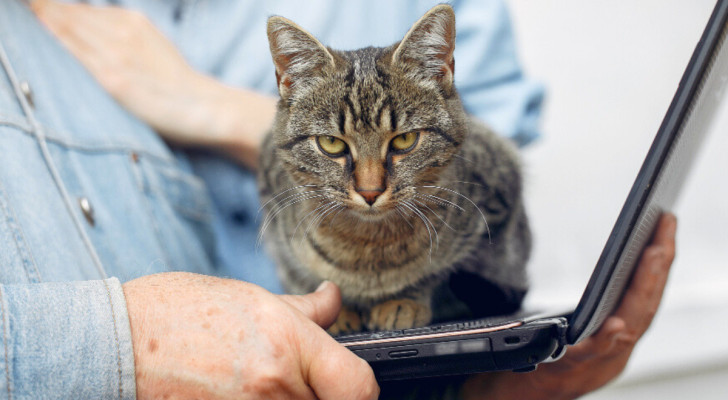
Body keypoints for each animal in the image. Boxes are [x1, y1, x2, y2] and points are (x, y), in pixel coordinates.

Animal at [258, 4, 532, 334]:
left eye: (405, 139)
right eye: (331, 143)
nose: (370, 191)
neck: (369, 245)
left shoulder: (496, 207)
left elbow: (437, 274)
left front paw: (405, 300)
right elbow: (302, 277)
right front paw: (337, 310)